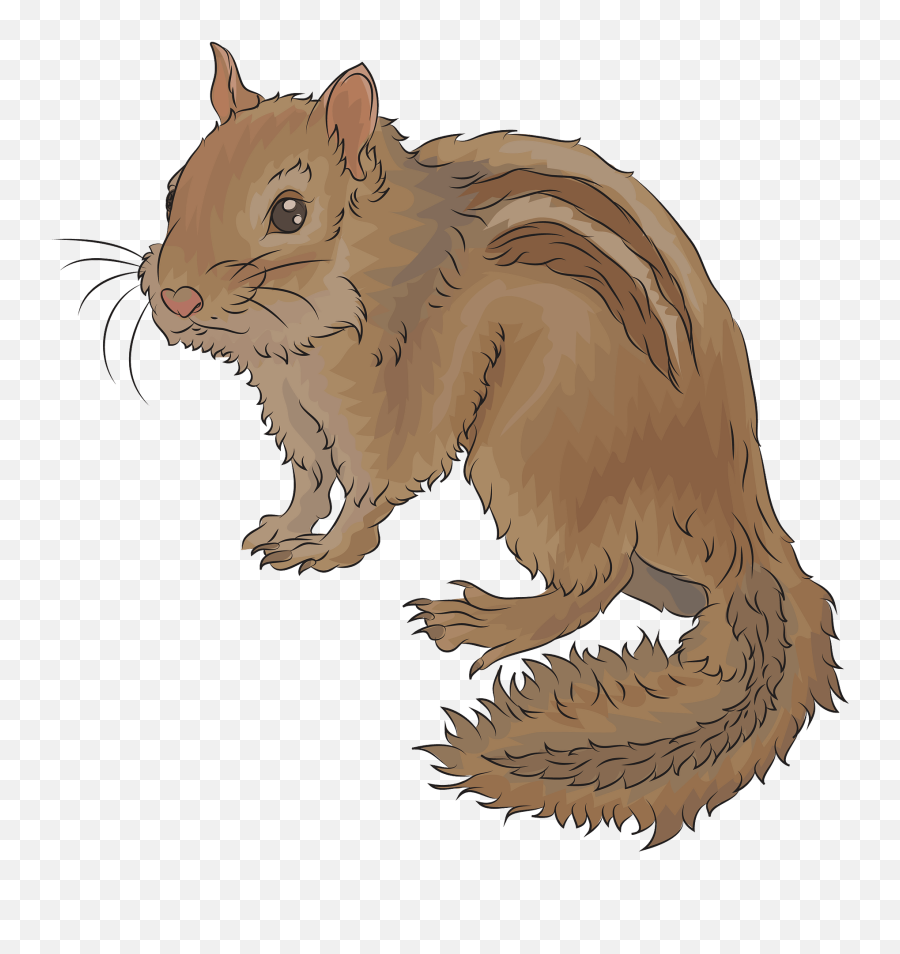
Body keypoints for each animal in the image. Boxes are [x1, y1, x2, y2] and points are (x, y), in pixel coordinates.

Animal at [137, 43, 843, 846]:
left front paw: (328, 549)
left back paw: (492, 621)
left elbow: (373, 487)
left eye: (290, 212)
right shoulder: (294, 409)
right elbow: (309, 479)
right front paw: (284, 526)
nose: (175, 297)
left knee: (594, 581)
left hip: (534, 457)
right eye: (172, 189)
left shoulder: (398, 399)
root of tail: (734, 511)